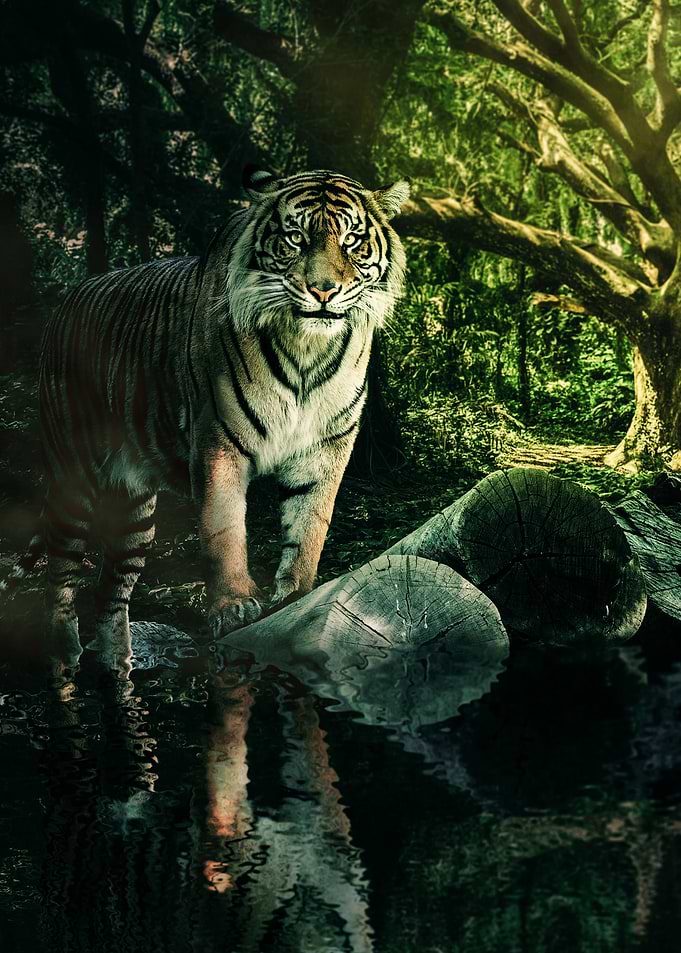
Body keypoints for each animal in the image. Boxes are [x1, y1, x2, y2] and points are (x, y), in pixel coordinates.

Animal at [32, 166, 410, 658]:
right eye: (295, 237)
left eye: (350, 241)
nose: (324, 291)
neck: (307, 348)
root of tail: (66, 300)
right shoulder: (219, 441)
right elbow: (224, 528)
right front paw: (234, 605)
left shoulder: (327, 447)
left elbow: (309, 527)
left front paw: (295, 597)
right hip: (73, 476)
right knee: (59, 574)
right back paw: (64, 651)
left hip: (133, 507)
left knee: (111, 590)